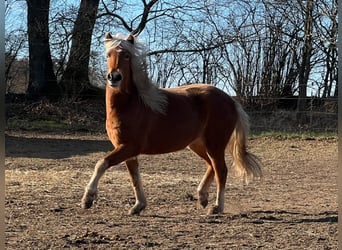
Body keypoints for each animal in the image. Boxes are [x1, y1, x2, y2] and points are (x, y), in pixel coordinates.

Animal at [81, 32, 264, 215]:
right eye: (108, 55)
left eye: (127, 56)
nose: (114, 77)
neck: (132, 105)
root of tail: (231, 101)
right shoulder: (127, 151)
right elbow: (134, 178)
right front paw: (138, 206)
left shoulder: (129, 147)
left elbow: (101, 163)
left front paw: (87, 199)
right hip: (198, 144)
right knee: (211, 165)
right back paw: (202, 197)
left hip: (215, 145)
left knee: (221, 170)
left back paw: (217, 207)